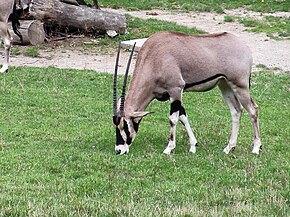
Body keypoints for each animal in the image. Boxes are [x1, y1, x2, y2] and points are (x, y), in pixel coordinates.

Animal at [113, 31, 262, 155]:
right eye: (115, 125)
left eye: (125, 125)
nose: (119, 150)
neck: (154, 57)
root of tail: (243, 46)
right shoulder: (172, 95)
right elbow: (183, 116)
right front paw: (193, 145)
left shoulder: (176, 89)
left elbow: (173, 118)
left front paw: (169, 148)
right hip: (225, 85)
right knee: (236, 111)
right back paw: (229, 147)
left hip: (240, 85)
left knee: (252, 109)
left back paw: (256, 148)